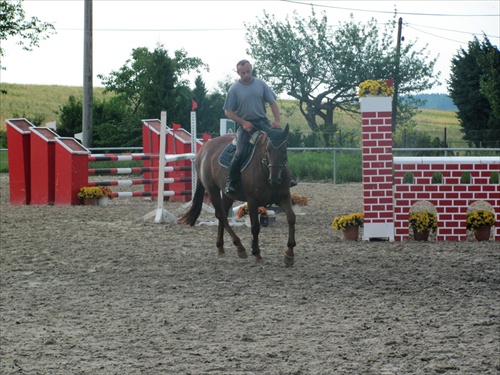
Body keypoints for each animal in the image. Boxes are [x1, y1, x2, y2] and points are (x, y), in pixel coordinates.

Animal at [179, 125, 294, 266]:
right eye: (267, 150)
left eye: (284, 150)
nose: (275, 180)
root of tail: (204, 149)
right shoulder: (252, 201)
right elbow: (255, 227)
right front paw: (257, 253)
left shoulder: (284, 197)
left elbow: (291, 218)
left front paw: (289, 253)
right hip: (212, 190)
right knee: (222, 216)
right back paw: (240, 247)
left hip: (228, 195)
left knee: (221, 214)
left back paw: (221, 248)